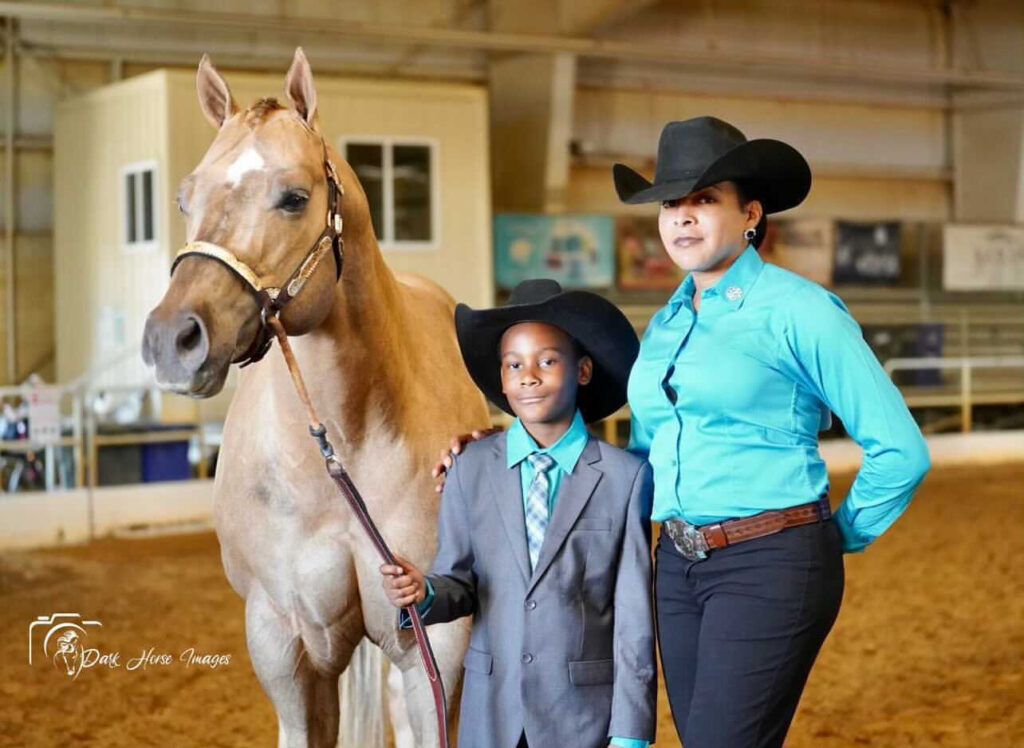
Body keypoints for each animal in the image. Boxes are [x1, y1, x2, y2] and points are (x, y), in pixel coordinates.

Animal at [141, 49, 487, 741]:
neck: (345, 450)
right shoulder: (284, 644)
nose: (172, 339)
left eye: (293, 198)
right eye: (185, 198)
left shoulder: (435, 644)